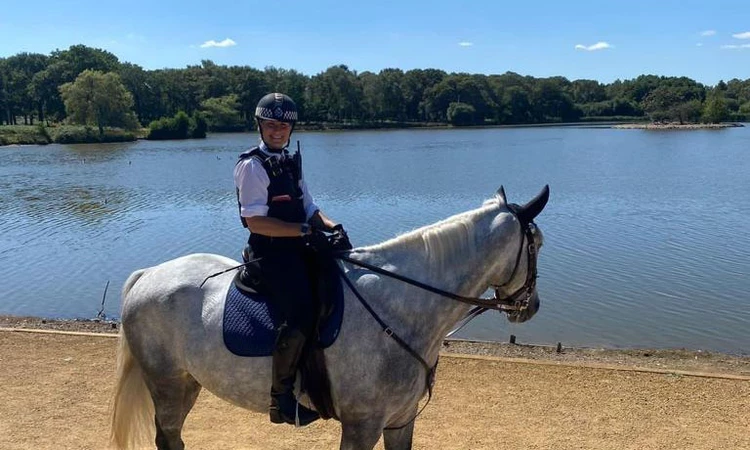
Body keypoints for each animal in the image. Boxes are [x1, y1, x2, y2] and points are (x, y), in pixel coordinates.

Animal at [108, 185, 548, 448]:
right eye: (538, 244)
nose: (532, 306)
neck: (400, 304)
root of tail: (150, 273)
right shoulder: (362, 426)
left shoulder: (401, 421)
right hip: (165, 384)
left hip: (187, 383)